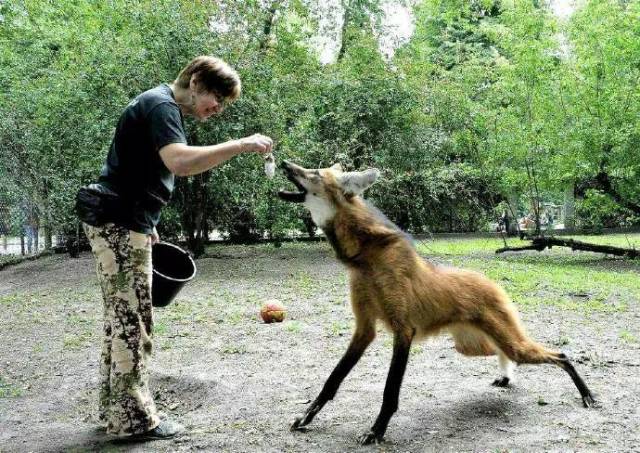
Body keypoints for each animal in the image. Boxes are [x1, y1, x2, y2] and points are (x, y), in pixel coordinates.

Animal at [278, 160, 596, 444]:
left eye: (313, 172)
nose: (284, 163)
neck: (367, 257)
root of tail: (492, 282)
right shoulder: (364, 329)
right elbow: (332, 380)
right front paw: (306, 418)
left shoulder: (403, 330)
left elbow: (390, 391)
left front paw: (376, 432)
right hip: (471, 345)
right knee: (503, 352)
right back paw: (507, 377)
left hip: (506, 342)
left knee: (559, 355)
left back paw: (586, 395)